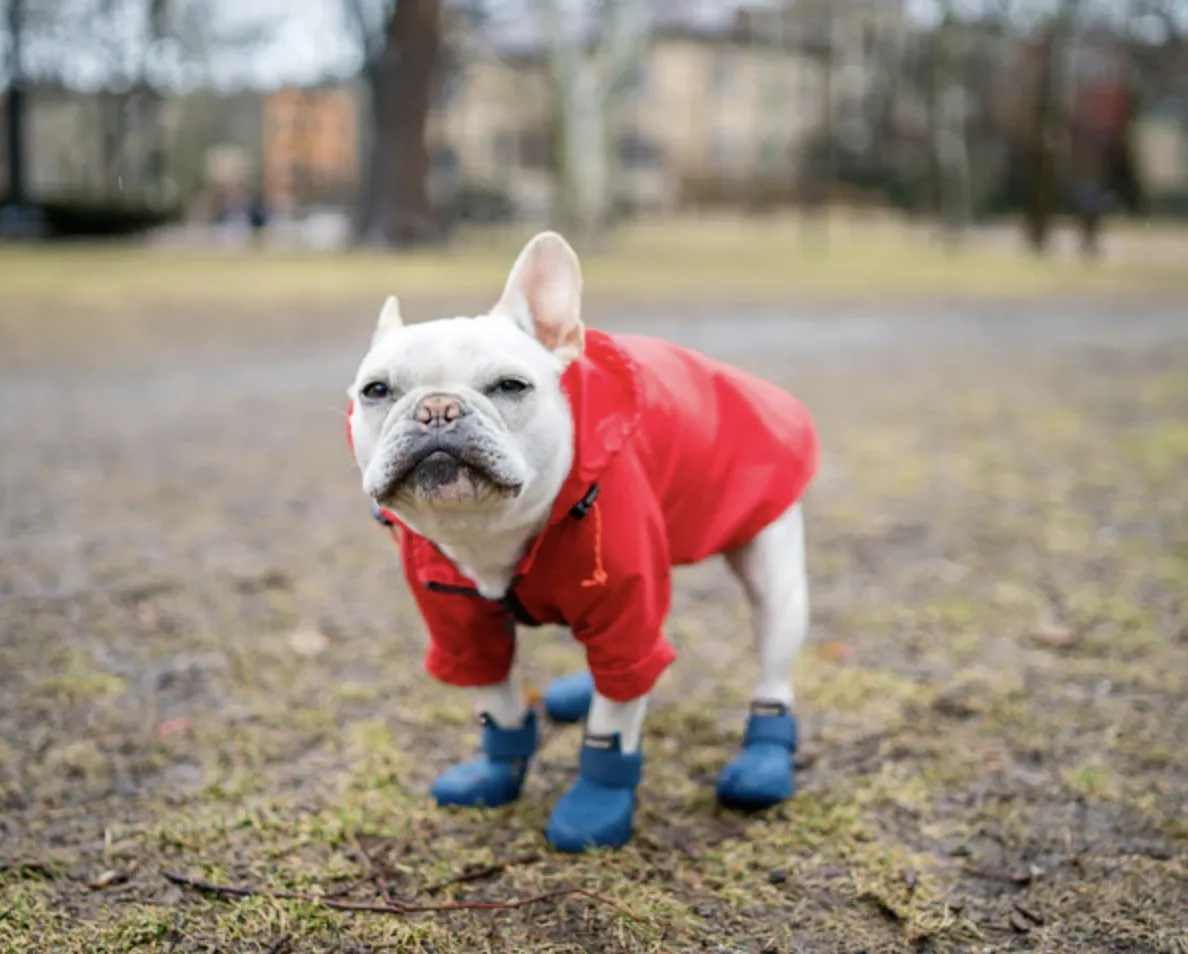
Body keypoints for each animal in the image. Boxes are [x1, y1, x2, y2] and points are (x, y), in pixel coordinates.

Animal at [346, 229, 817, 850]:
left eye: (511, 386)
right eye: (375, 390)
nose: (437, 408)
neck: (491, 534)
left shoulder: (625, 625)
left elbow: (612, 720)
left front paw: (595, 806)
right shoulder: (460, 627)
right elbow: (496, 702)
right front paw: (494, 774)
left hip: (772, 574)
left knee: (773, 664)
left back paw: (763, 760)